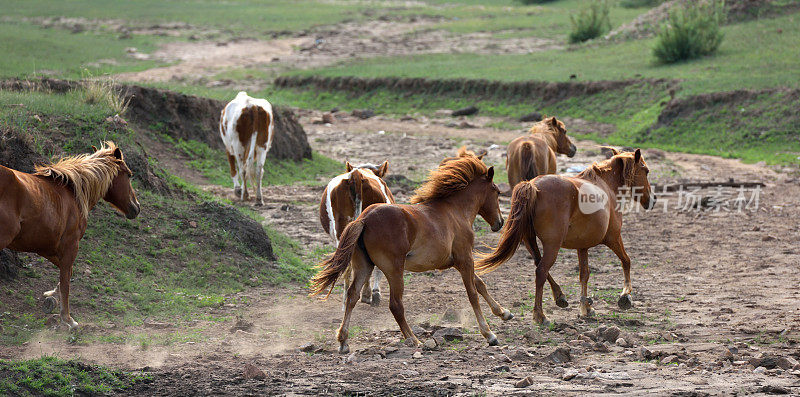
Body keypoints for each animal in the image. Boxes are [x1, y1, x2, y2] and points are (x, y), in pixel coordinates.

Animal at [0, 142, 141, 328]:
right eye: (129, 175)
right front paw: (67, 319)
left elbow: (66, 273)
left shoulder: (46, 246)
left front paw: (51, 296)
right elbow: (66, 279)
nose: (136, 207)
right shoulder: (70, 246)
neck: (73, 192)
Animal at [476, 148, 656, 324]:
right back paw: (540, 315)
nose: (652, 200)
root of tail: (532, 186)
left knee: (538, 264)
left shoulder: (582, 246)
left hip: (530, 241)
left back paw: (559, 296)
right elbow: (626, 261)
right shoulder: (613, 238)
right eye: (646, 171)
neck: (606, 186)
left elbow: (584, 274)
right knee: (541, 271)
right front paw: (626, 295)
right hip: (553, 245)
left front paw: (586, 308)